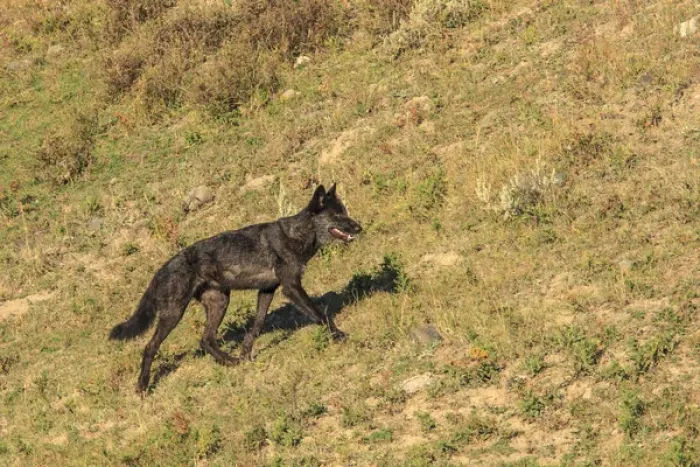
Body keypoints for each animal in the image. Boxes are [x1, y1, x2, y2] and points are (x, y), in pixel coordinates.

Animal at [109, 184, 362, 392]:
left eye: (345, 211)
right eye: (337, 215)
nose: (359, 228)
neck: (297, 235)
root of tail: (161, 270)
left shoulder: (267, 290)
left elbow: (256, 326)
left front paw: (245, 353)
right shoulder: (291, 287)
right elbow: (320, 314)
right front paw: (339, 335)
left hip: (220, 303)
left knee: (206, 340)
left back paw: (230, 361)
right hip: (174, 314)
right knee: (150, 346)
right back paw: (142, 386)